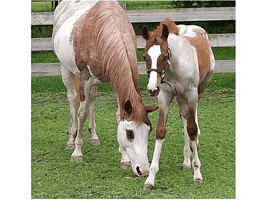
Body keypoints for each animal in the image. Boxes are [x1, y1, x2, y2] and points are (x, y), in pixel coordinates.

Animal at [53, 0, 159, 177]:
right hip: (66, 70)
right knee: (73, 101)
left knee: (92, 101)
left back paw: (93, 136)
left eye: (149, 130)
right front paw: (77, 152)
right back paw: (71, 140)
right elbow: (81, 114)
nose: (143, 170)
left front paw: (124, 159)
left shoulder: (115, 79)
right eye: (129, 133)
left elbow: (117, 114)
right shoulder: (85, 78)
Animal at [142, 18, 215, 189]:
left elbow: (192, 129)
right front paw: (150, 178)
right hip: (180, 98)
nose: (152, 88)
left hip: (199, 89)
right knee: (184, 117)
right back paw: (187, 159)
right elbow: (161, 130)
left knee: (192, 119)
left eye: (164, 56)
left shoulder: (191, 95)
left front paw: (197, 174)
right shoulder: (164, 97)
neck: (174, 67)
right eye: (144, 56)